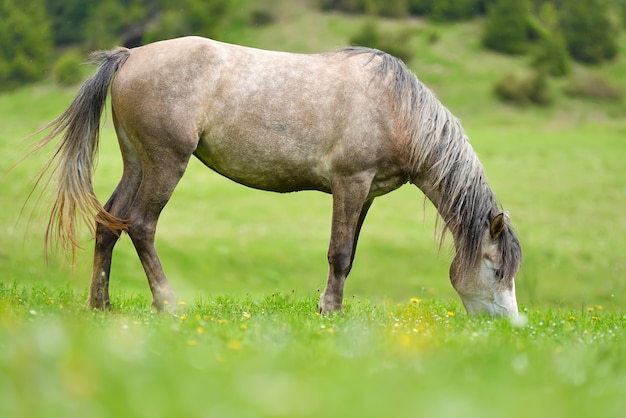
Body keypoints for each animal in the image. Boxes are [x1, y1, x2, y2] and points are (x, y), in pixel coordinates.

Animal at [34, 36, 520, 316]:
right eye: (496, 269)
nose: (510, 325)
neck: (395, 108)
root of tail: (130, 55)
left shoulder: (365, 194)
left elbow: (349, 256)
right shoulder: (349, 183)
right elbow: (339, 254)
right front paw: (330, 313)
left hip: (138, 163)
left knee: (108, 222)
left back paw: (101, 305)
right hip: (166, 163)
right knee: (141, 224)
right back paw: (167, 304)